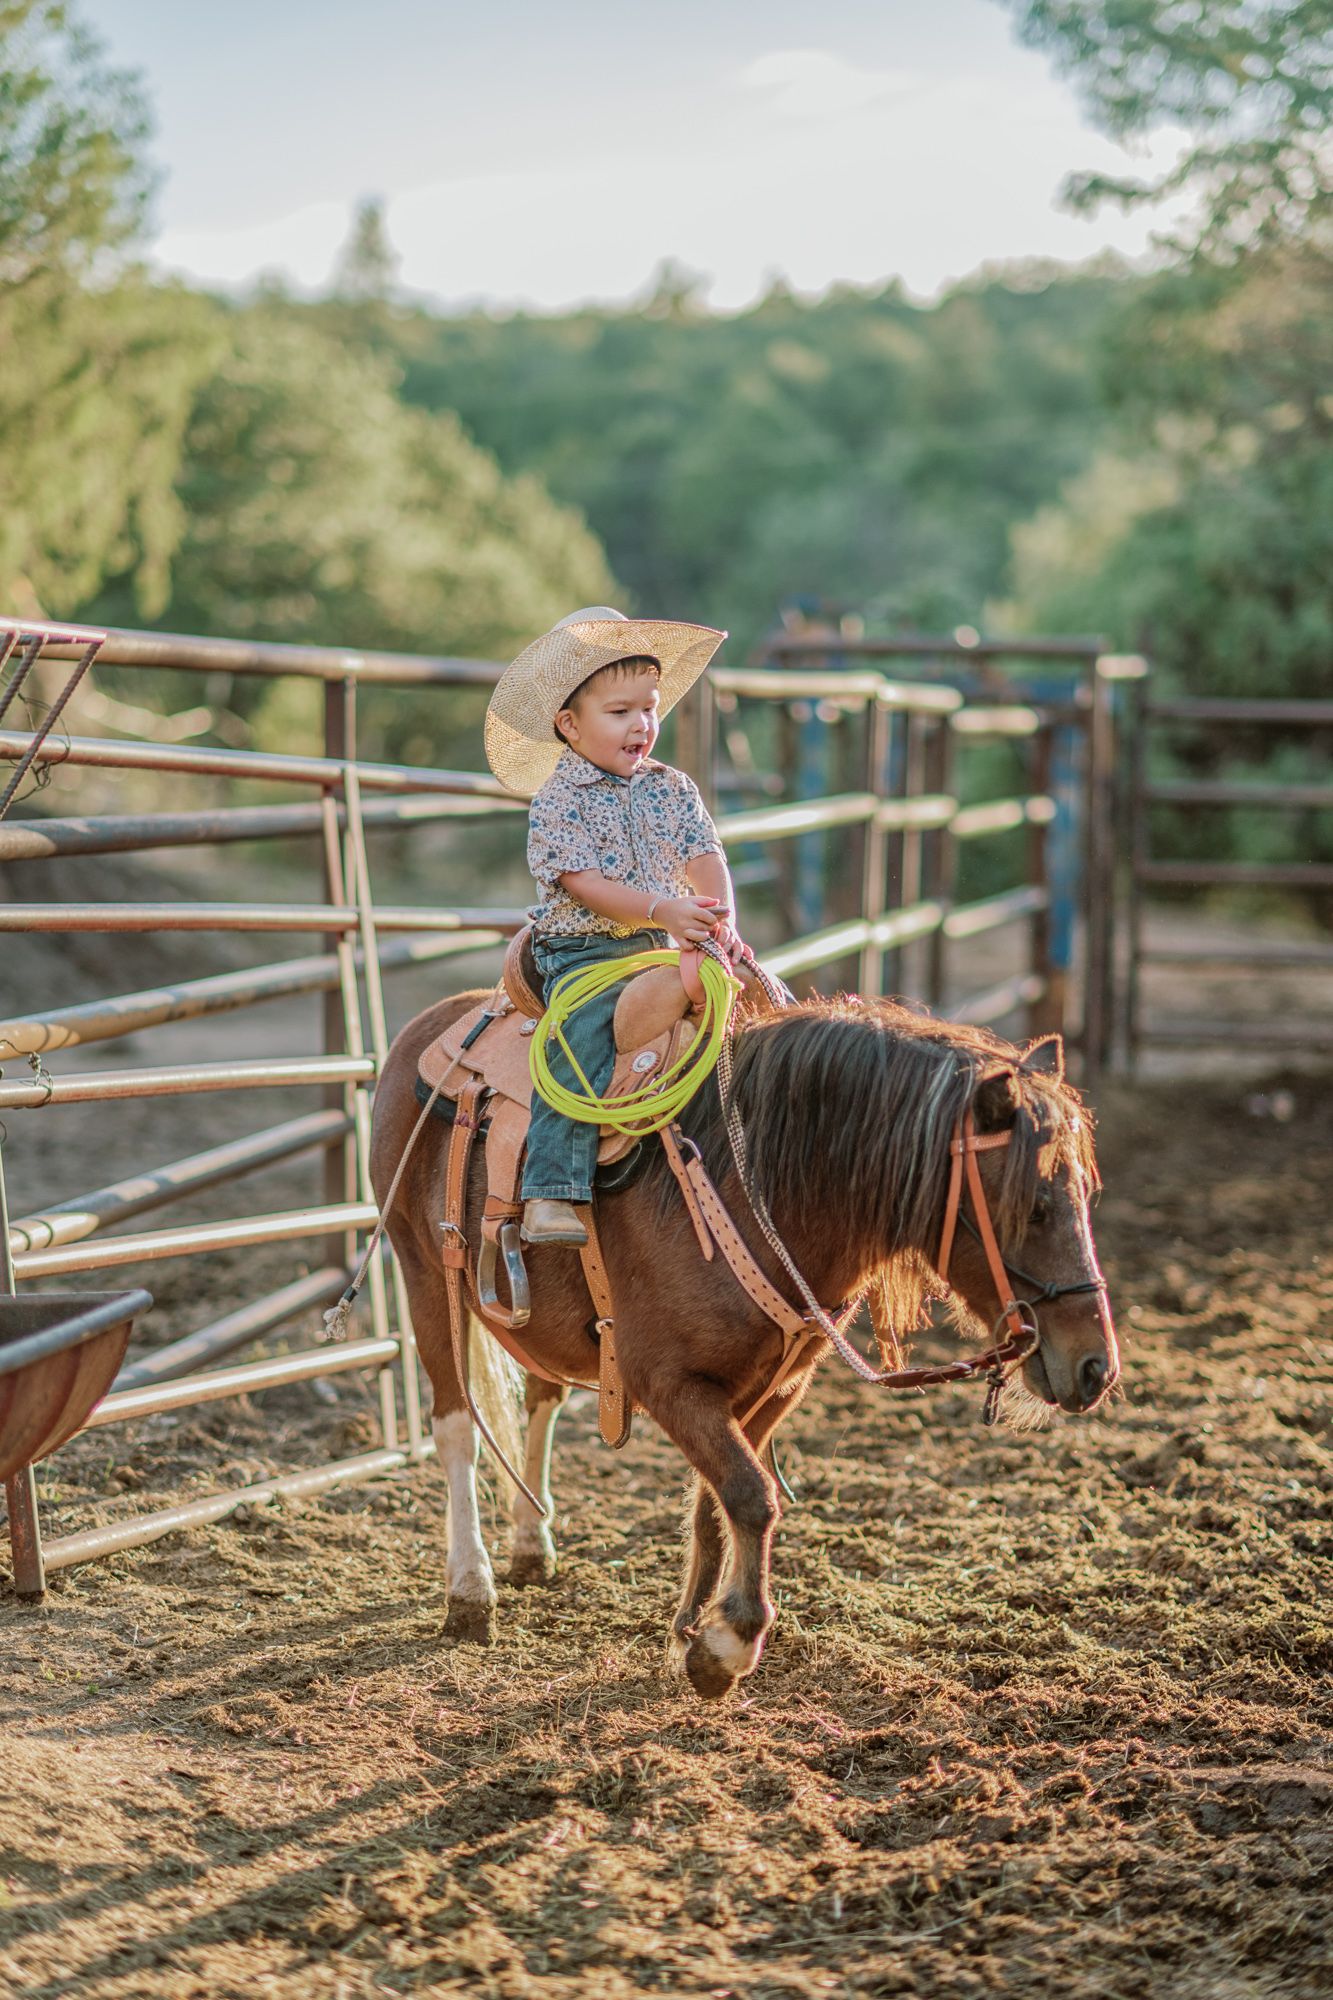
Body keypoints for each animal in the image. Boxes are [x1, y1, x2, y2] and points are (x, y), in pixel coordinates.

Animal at [369, 990, 1119, 1702]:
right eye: (1035, 1207)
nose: (1096, 1366)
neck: (754, 1192)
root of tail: (435, 1023)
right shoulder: (668, 1384)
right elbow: (752, 1496)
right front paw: (729, 1642)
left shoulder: (775, 1387)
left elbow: (717, 1502)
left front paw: (690, 1631)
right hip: (424, 1277)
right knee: (456, 1428)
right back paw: (470, 1590)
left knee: (540, 1405)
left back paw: (531, 1544)